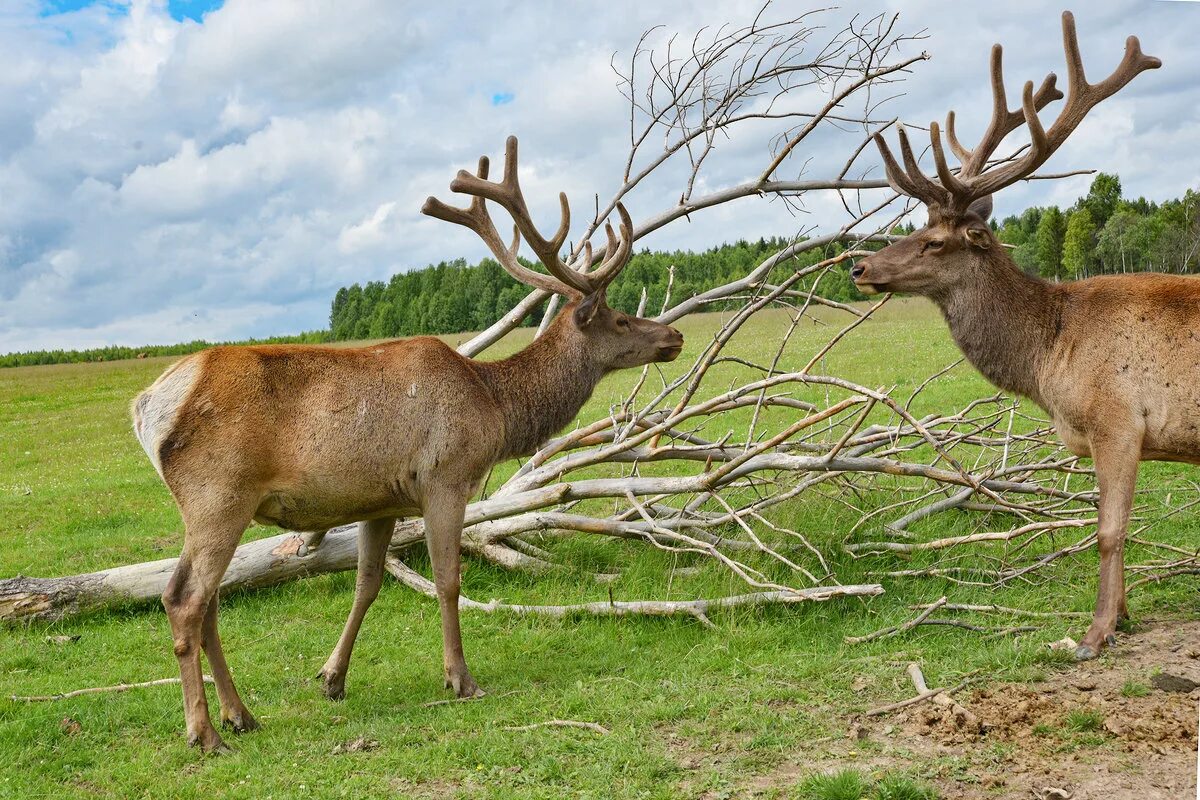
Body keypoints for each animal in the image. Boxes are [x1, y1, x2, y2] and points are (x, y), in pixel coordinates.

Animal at [131, 134, 686, 753]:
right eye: (619, 319)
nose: (674, 335)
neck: (494, 406)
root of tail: (148, 407)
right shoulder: (445, 475)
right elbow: (448, 579)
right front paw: (460, 678)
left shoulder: (381, 500)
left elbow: (367, 585)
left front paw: (332, 677)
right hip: (219, 494)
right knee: (185, 599)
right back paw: (205, 731)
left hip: (213, 505)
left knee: (202, 601)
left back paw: (240, 715)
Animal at [849, 12, 1166, 662]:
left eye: (934, 241)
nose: (859, 267)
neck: (1051, 354)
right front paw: (1122, 617)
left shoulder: (1119, 420)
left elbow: (1109, 530)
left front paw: (1096, 633)